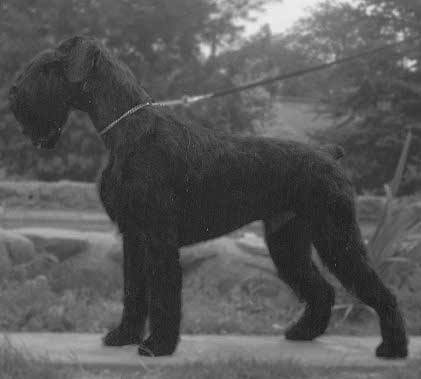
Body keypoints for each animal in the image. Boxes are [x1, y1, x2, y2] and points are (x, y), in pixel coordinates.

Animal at [9, 35, 406, 360]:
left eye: (46, 67)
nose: (12, 93)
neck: (129, 132)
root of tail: (328, 155)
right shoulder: (133, 237)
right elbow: (133, 293)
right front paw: (123, 336)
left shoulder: (159, 238)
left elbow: (163, 296)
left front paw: (157, 346)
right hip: (287, 242)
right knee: (321, 289)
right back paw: (303, 332)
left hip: (336, 237)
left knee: (381, 292)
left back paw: (393, 348)